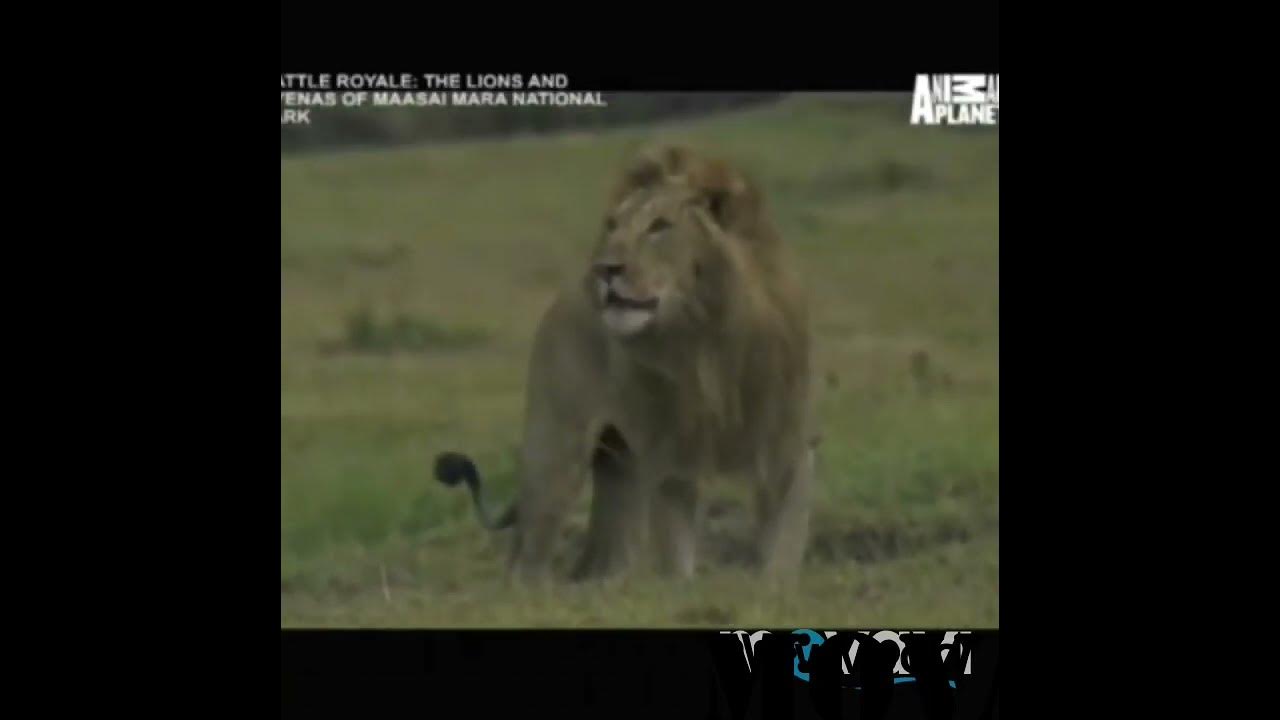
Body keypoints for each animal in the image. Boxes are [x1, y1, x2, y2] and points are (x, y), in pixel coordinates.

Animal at [435, 145, 815, 583]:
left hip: (623, 470)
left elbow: (781, 549)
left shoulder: (788, 447)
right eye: (612, 225)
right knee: (526, 556)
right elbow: (677, 559)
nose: (604, 269)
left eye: (659, 226)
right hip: (556, 456)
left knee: (601, 559)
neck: (708, 345)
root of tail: (565, 295)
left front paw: (772, 587)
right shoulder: (674, 461)